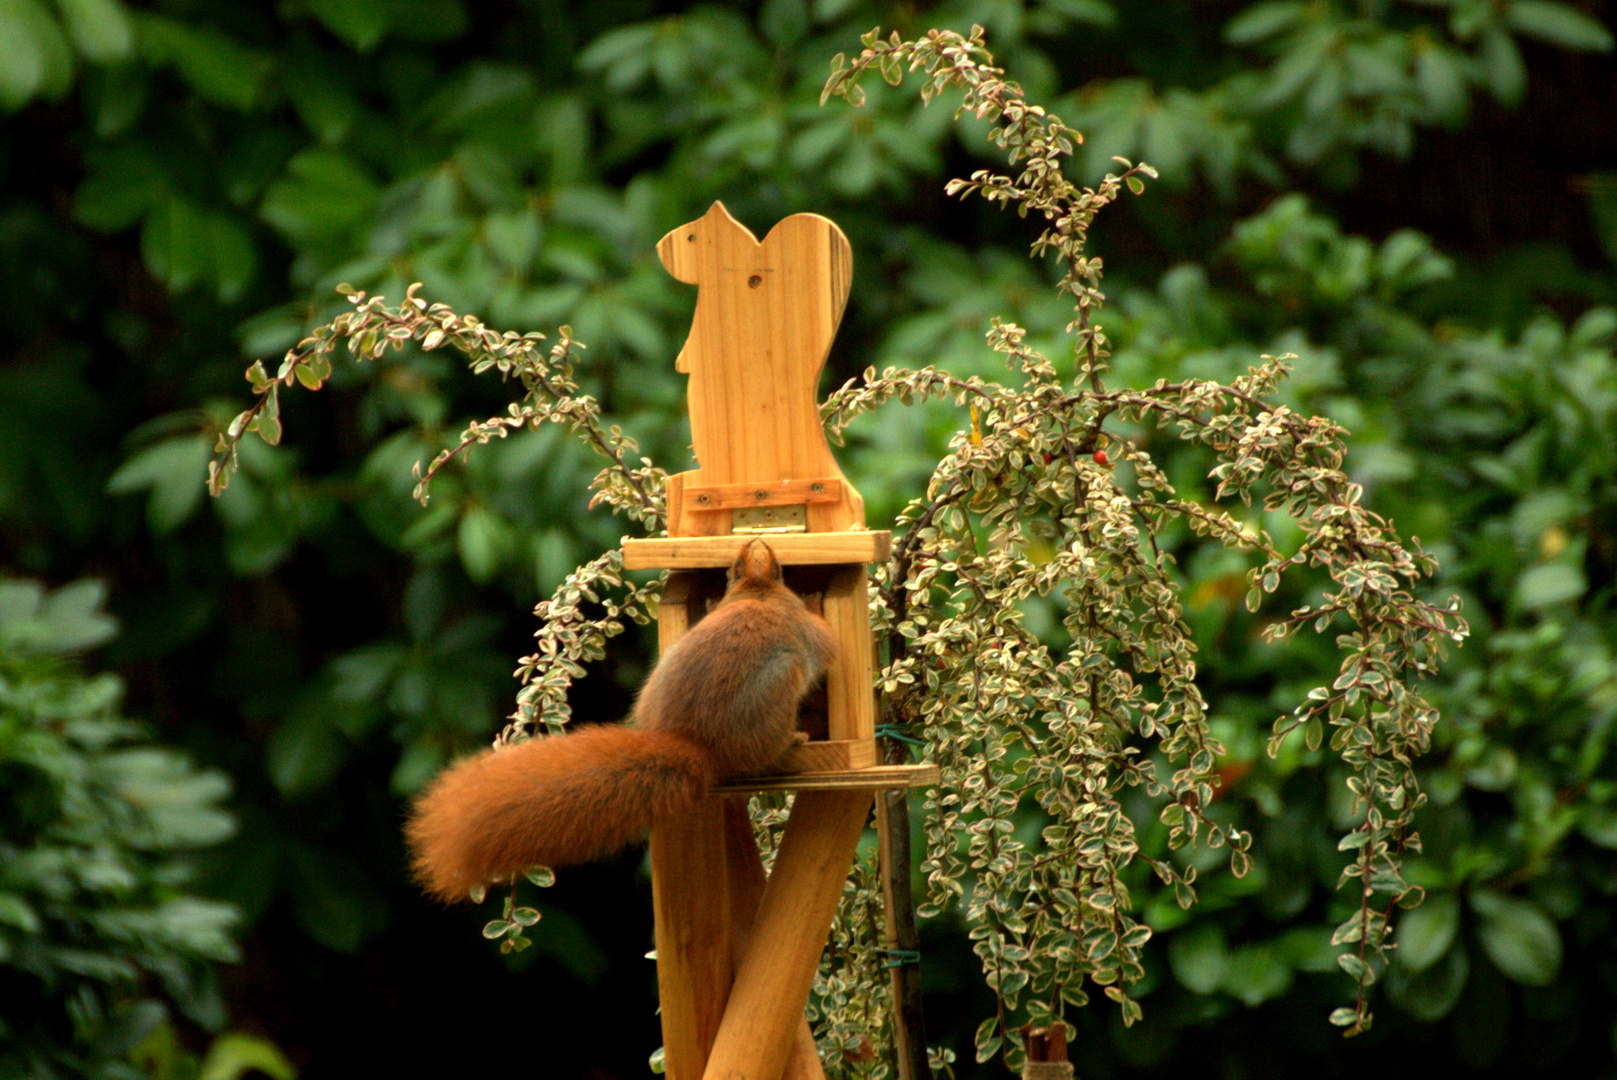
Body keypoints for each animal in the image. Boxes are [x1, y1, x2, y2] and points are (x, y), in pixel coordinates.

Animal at [404, 540, 834, 905]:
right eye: (778, 565)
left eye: (737, 563)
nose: (758, 539)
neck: (758, 588)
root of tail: (693, 743)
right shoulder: (810, 634)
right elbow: (828, 643)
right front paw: (816, 600)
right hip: (779, 684)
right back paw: (793, 741)